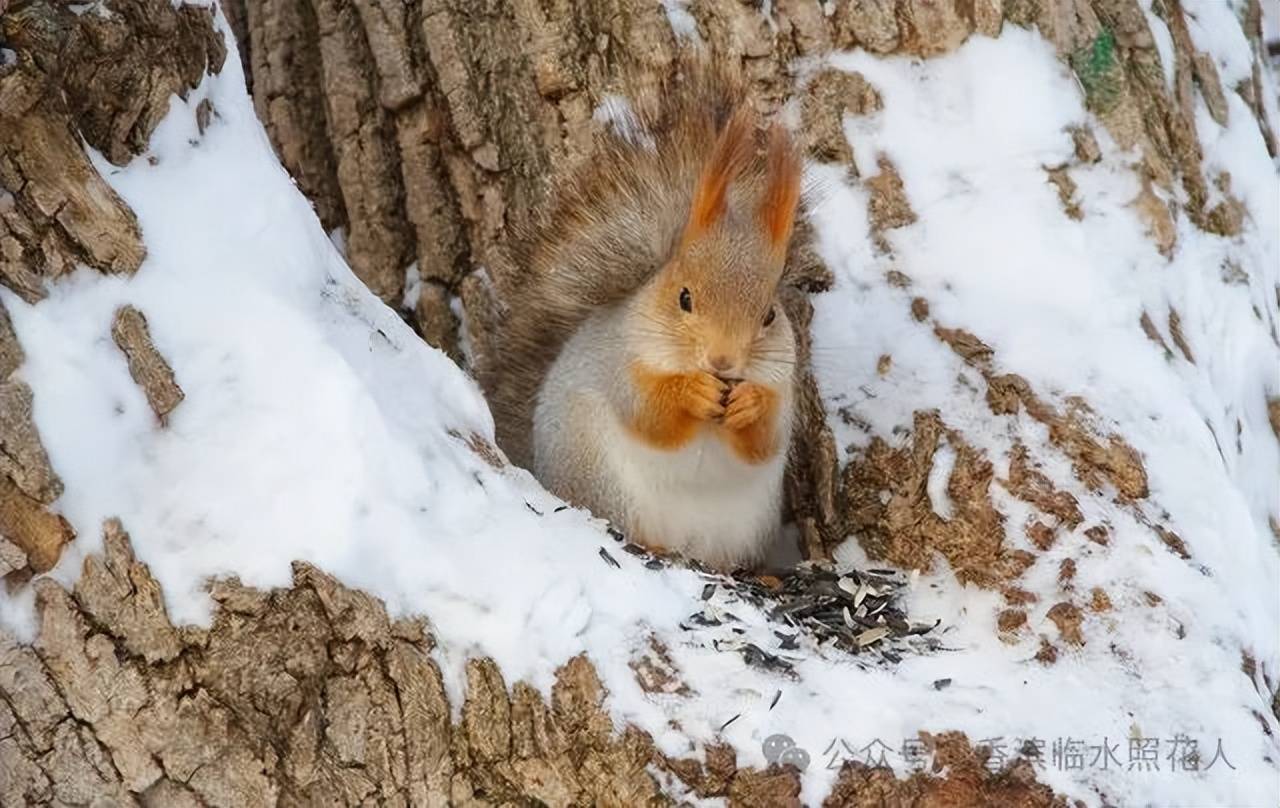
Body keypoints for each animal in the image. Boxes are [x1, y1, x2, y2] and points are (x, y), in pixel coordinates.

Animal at [488, 66, 798, 571]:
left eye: (769, 313)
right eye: (684, 297)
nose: (723, 362)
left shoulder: (785, 384)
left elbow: (767, 437)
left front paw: (749, 403)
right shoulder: (621, 361)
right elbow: (648, 412)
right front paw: (691, 392)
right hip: (603, 482)